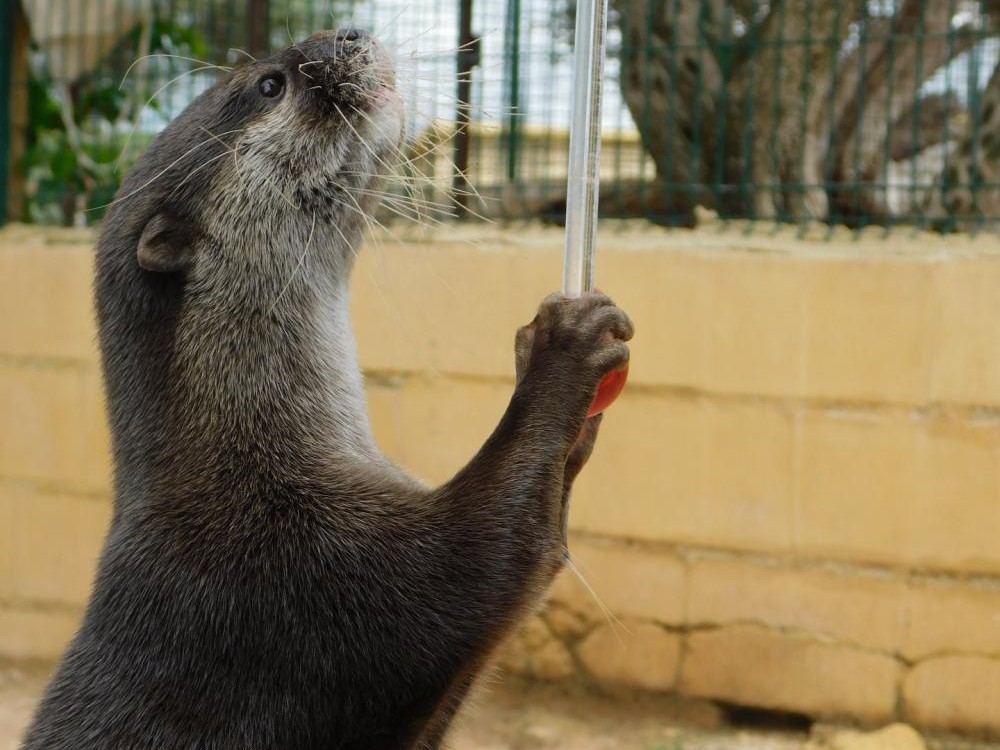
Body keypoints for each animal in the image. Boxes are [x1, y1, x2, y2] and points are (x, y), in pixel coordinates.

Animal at [20, 30, 632, 750]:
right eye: (269, 86)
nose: (349, 34)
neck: (247, 458)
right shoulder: (324, 578)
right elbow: (506, 548)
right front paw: (561, 346)